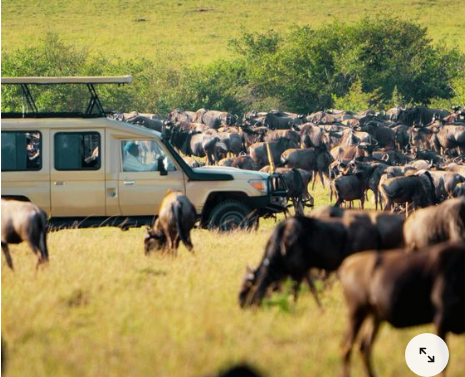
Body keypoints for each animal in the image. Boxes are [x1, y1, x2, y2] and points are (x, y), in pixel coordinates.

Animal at [338, 241, 464, 376]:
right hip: (356, 314)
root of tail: (346, 265)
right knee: (347, 347)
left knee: (364, 347)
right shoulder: (440, 321)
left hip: (375, 317)